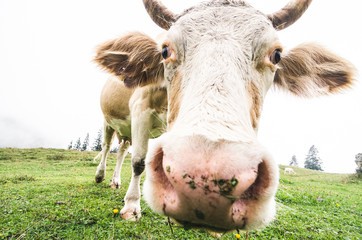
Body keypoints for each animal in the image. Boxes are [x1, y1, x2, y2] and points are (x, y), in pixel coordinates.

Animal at [92, 0, 354, 232]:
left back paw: (115, 180)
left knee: (121, 150)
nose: (205, 179)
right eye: (165, 50)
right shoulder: (141, 109)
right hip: (107, 121)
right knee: (106, 147)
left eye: (277, 55)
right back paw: (100, 175)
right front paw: (131, 207)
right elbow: (138, 161)